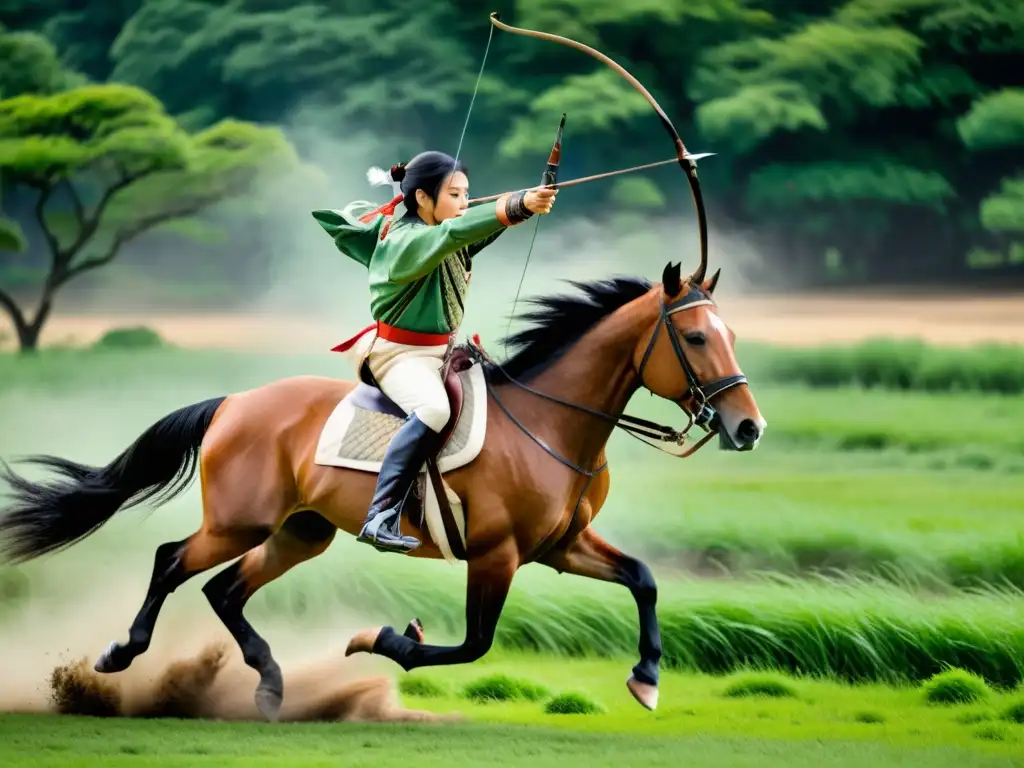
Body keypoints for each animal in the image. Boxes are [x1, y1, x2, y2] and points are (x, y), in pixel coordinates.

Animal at [0, 259, 761, 720]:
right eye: (696, 338)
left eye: (728, 332)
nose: (747, 426)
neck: (551, 424)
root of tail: (234, 403)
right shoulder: (498, 554)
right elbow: (471, 644)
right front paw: (383, 638)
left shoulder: (561, 545)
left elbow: (643, 578)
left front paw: (648, 677)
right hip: (239, 523)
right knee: (171, 562)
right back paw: (118, 656)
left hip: (299, 533)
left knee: (224, 590)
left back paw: (270, 684)